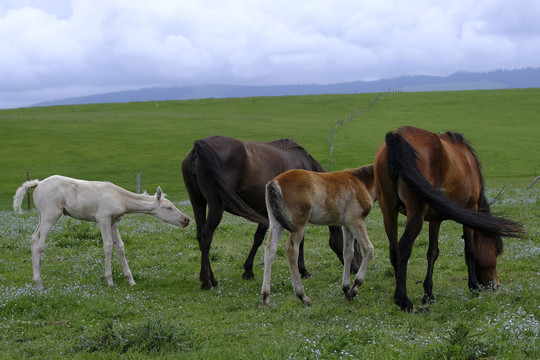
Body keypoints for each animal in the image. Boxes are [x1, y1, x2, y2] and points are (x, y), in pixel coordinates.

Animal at [13, 176, 190, 288]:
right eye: (169, 207)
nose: (186, 219)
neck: (120, 197)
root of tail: (38, 184)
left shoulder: (113, 222)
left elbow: (120, 247)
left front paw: (131, 280)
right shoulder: (102, 218)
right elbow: (108, 246)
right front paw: (109, 281)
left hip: (42, 216)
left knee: (32, 239)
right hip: (51, 215)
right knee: (38, 242)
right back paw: (39, 283)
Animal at [182, 136, 362, 292]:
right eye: (355, 243)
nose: (356, 268)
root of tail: (198, 147)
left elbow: (258, 238)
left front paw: (248, 270)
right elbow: (299, 241)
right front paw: (303, 270)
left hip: (198, 203)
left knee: (200, 236)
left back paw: (211, 278)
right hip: (215, 206)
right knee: (207, 235)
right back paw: (207, 281)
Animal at [262, 165, 376, 306]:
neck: (362, 181)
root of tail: (274, 183)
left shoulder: (346, 226)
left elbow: (348, 253)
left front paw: (346, 290)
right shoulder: (355, 221)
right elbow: (369, 248)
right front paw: (355, 288)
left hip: (276, 222)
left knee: (270, 248)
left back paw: (266, 297)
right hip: (298, 223)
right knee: (291, 249)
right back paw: (302, 296)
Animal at [374, 127, 520, 312]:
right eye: (496, 251)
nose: (495, 285)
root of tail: (396, 136)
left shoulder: (434, 220)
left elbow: (432, 253)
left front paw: (428, 294)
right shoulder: (470, 208)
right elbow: (470, 250)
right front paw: (473, 286)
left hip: (388, 211)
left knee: (394, 250)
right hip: (415, 214)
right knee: (404, 247)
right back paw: (403, 299)